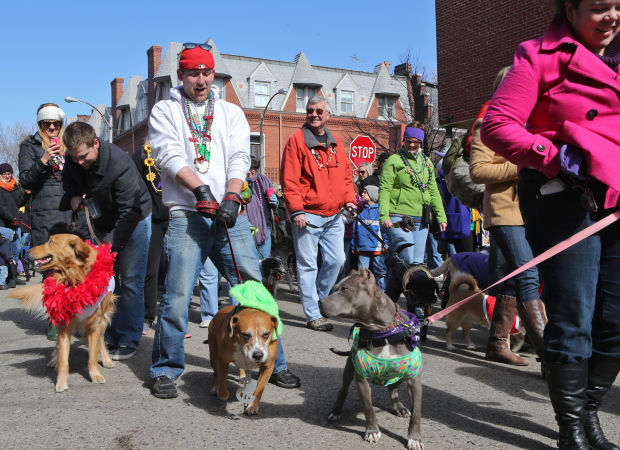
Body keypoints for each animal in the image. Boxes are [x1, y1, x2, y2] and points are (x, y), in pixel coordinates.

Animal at [8, 234, 117, 392]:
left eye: (51, 241)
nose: (27, 251)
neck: (74, 277)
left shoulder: (94, 324)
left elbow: (92, 356)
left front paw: (95, 374)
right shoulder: (65, 325)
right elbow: (64, 358)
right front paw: (61, 382)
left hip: (103, 317)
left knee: (102, 339)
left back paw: (107, 359)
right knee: (58, 345)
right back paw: (54, 359)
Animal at [318, 268, 424, 450]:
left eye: (344, 289)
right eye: (335, 288)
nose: (319, 302)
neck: (383, 332)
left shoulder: (414, 380)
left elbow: (416, 413)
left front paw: (415, 438)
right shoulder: (362, 380)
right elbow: (369, 409)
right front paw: (373, 431)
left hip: (399, 375)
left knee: (393, 389)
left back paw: (400, 408)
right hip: (349, 370)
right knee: (343, 390)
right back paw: (336, 411)